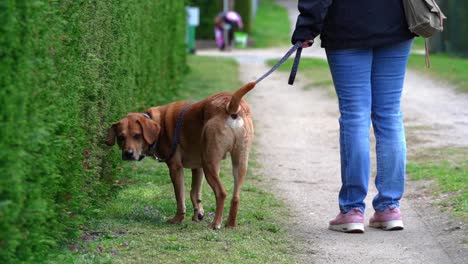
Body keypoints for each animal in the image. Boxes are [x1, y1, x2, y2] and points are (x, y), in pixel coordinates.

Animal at [106, 82, 256, 229]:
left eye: (137, 136)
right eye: (121, 137)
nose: (128, 154)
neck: (158, 125)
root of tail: (230, 105)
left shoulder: (175, 168)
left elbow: (180, 196)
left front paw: (178, 219)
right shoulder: (198, 168)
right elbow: (194, 192)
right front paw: (198, 214)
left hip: (210, 163)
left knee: (221, 193)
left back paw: (216, 223)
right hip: (239, 163)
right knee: (236, 197)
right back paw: (230, 223)